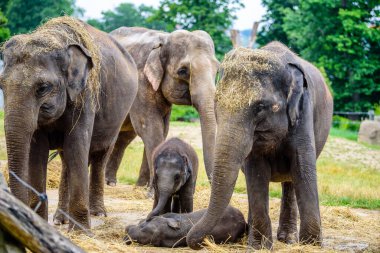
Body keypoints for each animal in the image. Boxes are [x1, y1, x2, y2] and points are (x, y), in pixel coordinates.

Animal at [105, 27, 218, 186]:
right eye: (183, 71)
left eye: (217, 70)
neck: (163, 38)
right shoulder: (141, 80)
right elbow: (150, 126)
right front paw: (151, 189)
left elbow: (163, 129)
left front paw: (142, 186)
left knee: (124, 137)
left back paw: (110, 182)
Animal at [187, 42, 332, 250]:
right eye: (216, 104)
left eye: (261, 107)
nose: (200, 242)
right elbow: (256, 173)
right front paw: (259, 247)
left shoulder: (303, 112)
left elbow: (303, 169)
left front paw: (310, 246)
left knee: (290, 182)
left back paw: (288, 239)